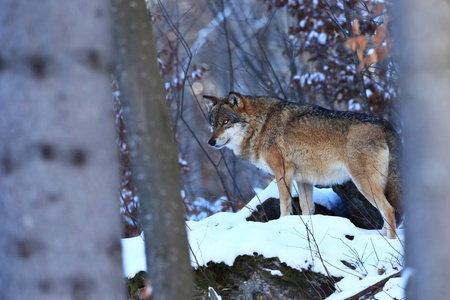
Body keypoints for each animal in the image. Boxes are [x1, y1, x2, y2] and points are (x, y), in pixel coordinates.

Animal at [202, 91, 402, 239]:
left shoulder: (282, 172)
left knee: (389, 209)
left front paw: (281, 224)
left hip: (363, 183)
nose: (210, 142)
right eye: (212, 123)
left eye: (225, 122)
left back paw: (390, 242)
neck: (261, 125)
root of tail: (385, 124)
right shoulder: (303, 180)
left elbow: (284, 205)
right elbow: (307, 209)